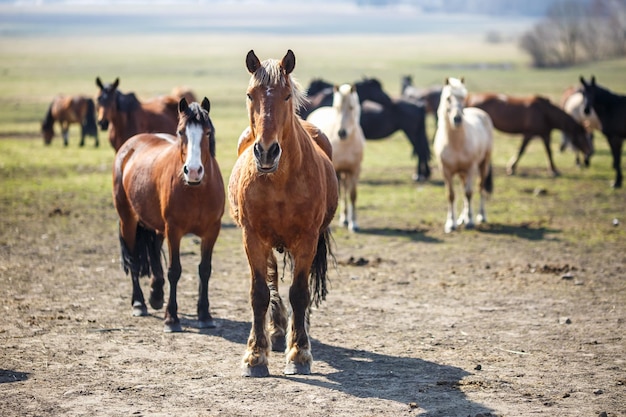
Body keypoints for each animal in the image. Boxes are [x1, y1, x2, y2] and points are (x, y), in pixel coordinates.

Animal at [112, 96, 224, 332]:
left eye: (207, 132)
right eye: (181, 132)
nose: (193, 171)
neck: (196, 190)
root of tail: (129, 147)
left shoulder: (212, 231)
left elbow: (205, 270)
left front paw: (205, 315)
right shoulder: (174, 230)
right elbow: (175, 271)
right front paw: (171, 318)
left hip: (155, 224)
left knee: (154, 249)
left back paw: (156, 294)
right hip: (128, 220)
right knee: (134, 260)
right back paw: (139, 303)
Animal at [227, 49, 336, 376]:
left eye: (287, 95)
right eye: (250, 94)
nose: (265, 151)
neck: (278, 181)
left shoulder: (307, 239)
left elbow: (299, 293)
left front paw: (299, 352)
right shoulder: (252, 238)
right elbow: (259, 293)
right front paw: (255, 355)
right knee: (273, 280)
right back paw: (276, 332)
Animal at [306, 81, 364, 231]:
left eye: (351, 107)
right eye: (337, 108)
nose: (342, 133)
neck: (346, 143)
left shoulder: (354, 171)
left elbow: (352, 195)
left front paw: (354, 223)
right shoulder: (336, 170)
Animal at [434, 77, 492, 234]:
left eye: (463, 98)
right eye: (448, 98)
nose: (457, 119)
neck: (455, 143)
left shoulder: (471, 168)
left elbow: (469, 193)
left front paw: (470, 221)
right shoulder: (446, 171)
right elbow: (451, 195)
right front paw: (451, 223)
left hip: (483, 164)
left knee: (480, 187)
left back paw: (481, 216)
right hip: (461, 173)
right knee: (463, 188)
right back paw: (461, 218)